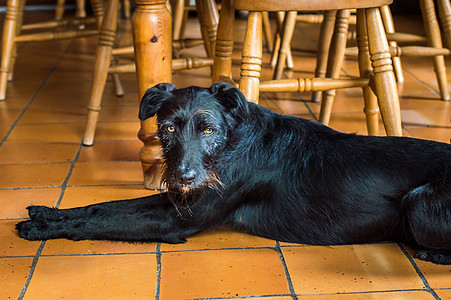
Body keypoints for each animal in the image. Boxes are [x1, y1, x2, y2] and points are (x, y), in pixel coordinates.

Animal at [15, 82, 451, 264]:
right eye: (168, 128)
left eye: (208, 129)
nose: (185, 177)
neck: (231, 144)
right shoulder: (176, 200)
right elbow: (102, 207)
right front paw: (50, 214)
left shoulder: (178, 217)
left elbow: (106, 218)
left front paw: (46, 228)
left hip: (420, 201)